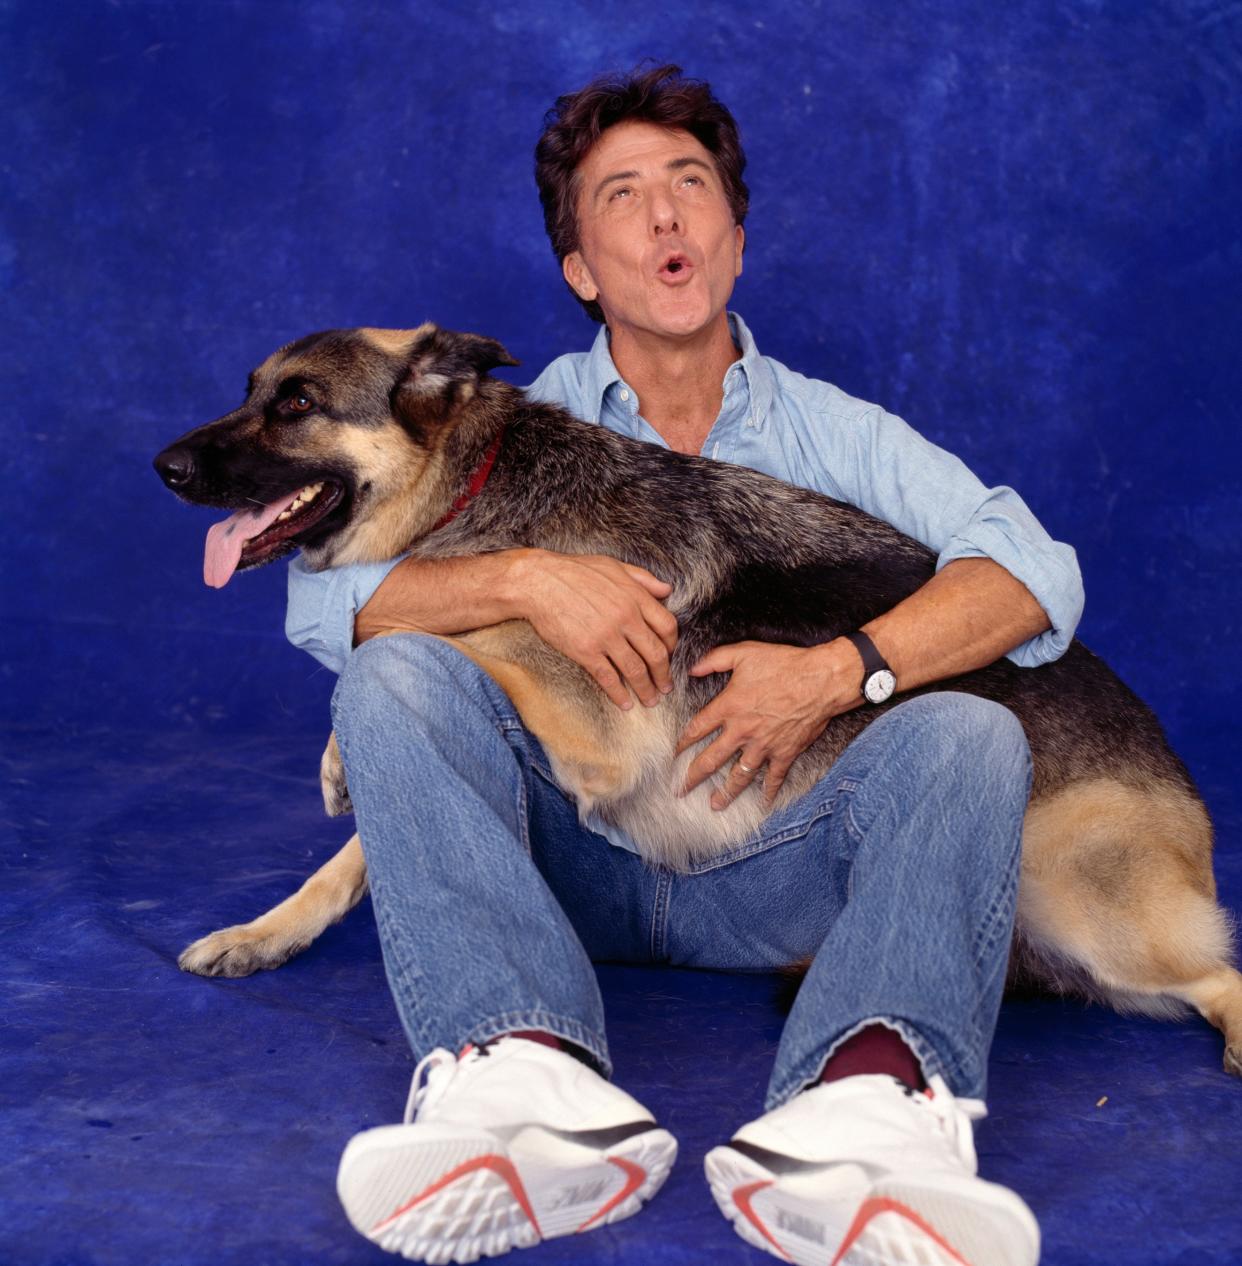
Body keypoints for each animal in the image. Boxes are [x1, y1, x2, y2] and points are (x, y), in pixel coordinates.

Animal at [155, 321, 1240, 1073]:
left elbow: (448, 634)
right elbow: (350, 843)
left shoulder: (595, 723)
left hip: (1088, 901)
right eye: (251, 392)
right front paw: (265, 931)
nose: (164, 467)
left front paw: (338, 757)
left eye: (296, 403)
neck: (476, 485)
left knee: (1220, 972)